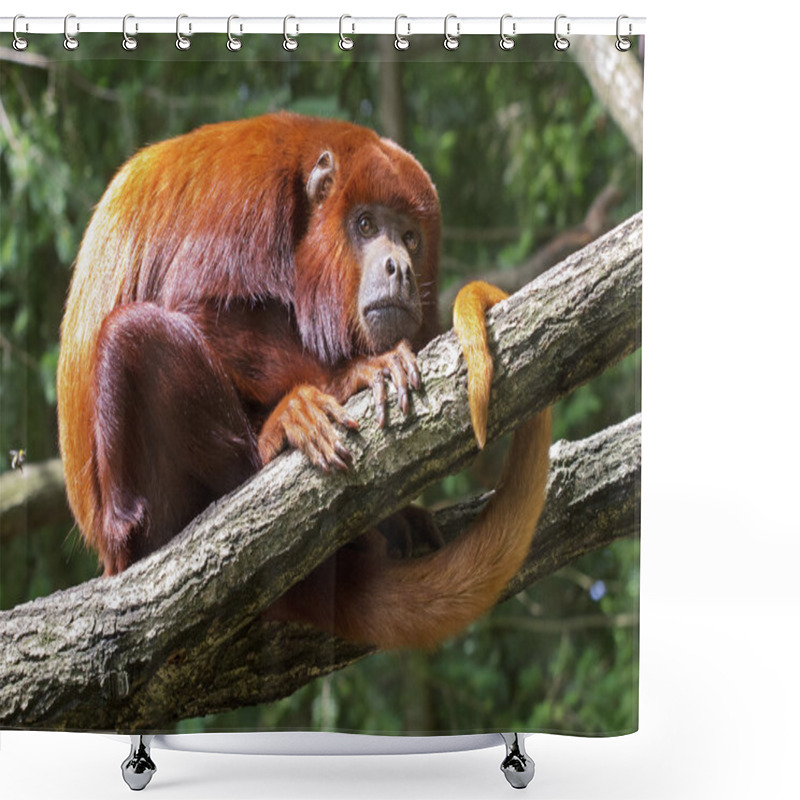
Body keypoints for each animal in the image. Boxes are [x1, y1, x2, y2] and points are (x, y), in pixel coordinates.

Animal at [57, 111, 552, 648]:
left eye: (410, 237)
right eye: (365, 225)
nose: (399, 268)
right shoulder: (245, 193)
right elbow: (196, 304)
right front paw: (353, 374)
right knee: (131, 337)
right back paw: (275, 435)